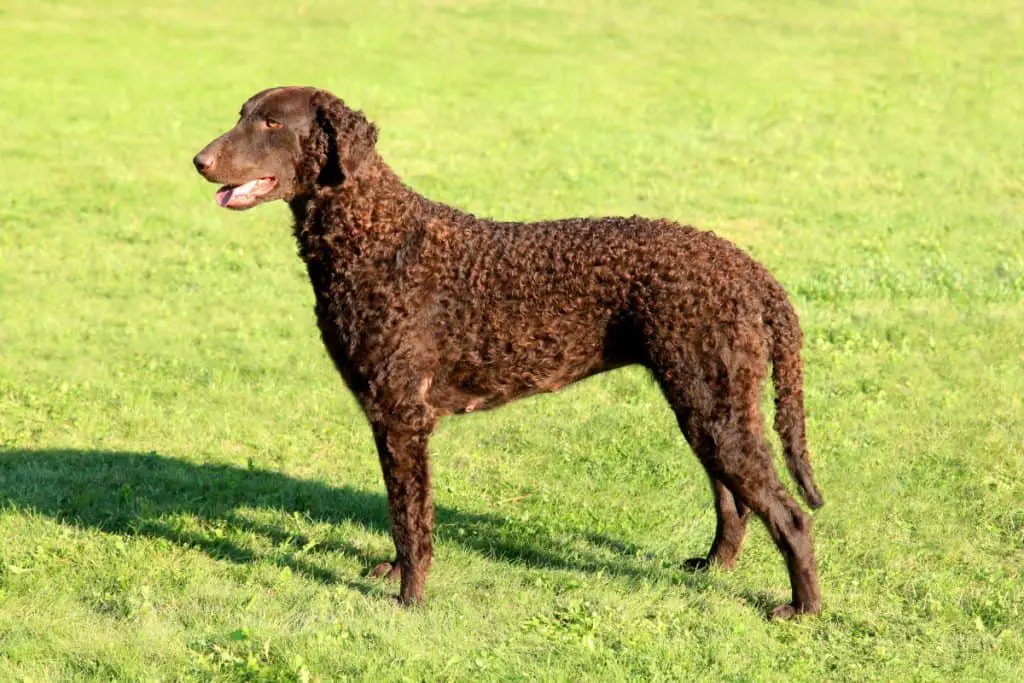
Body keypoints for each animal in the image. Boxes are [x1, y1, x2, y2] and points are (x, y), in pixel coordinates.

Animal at [195, 85, 827, 618]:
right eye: (241, 114)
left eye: (272, 122)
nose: (199, 160)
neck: (377, 237)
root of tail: (748, 269)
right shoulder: (388, 418)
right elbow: (403, 510)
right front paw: (397, 574)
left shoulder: (403, 415)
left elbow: (409, 515)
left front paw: (409, 599)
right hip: (705, 403)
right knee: (734, 502)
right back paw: (713, 568)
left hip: (713, 406)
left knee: (790, 516)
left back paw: (802, 610)